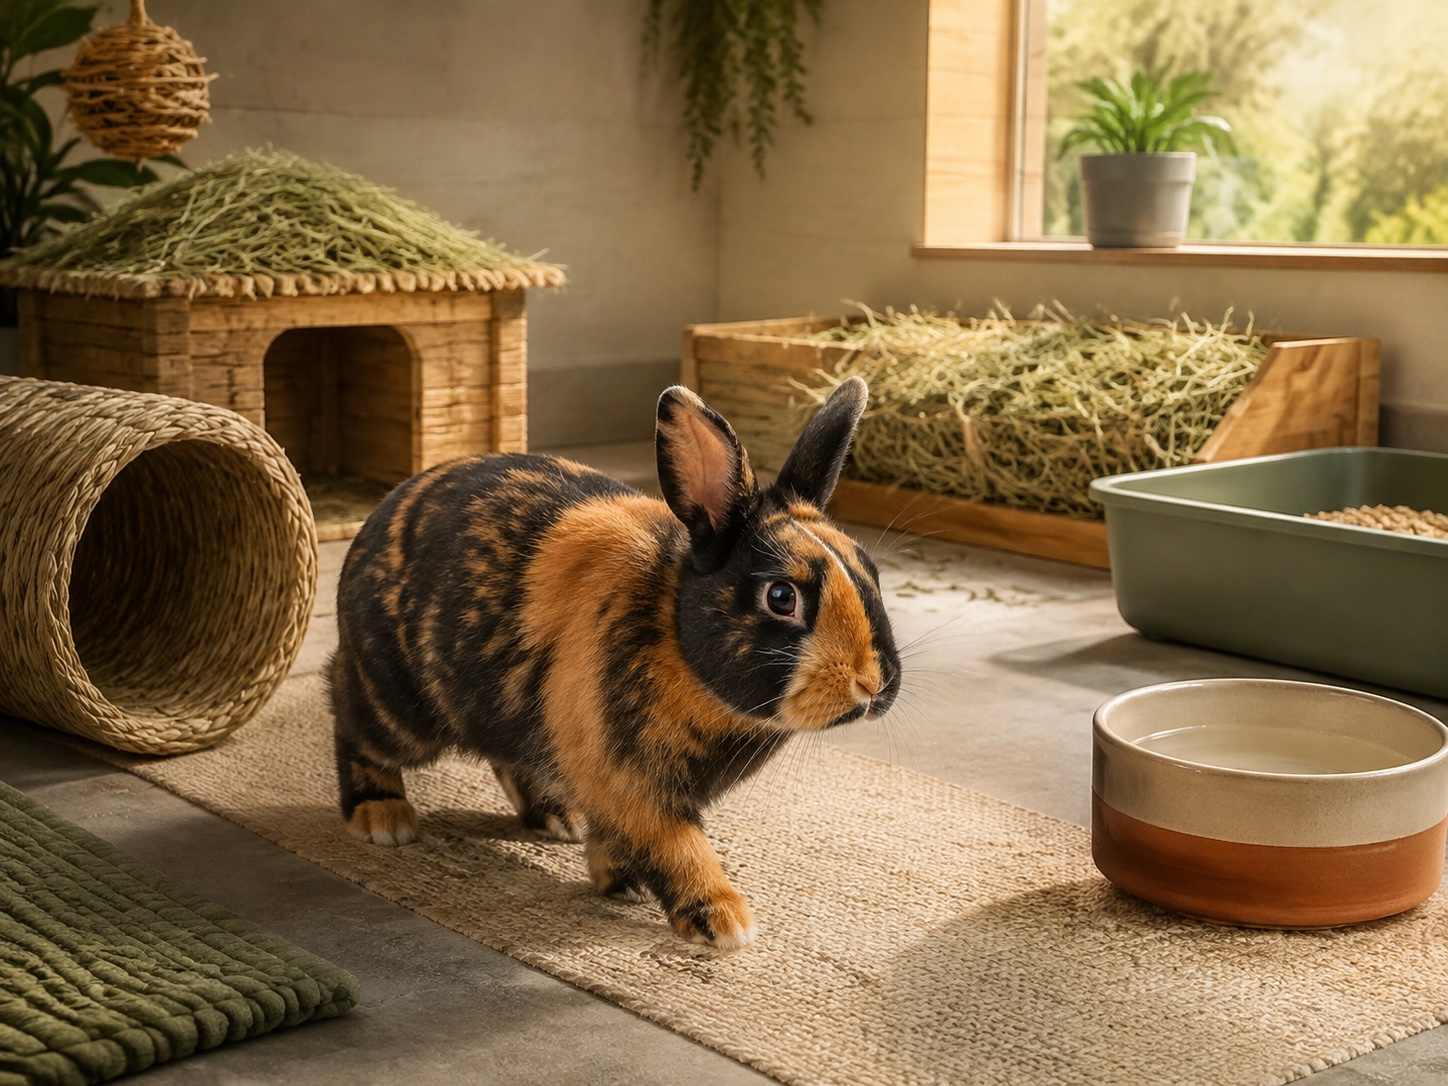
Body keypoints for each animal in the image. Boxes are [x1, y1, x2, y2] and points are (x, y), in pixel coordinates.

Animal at [329, 376, 901, 949]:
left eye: (869, 572)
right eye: (781, 597)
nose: (871, 685)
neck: (678, 637)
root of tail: (380, 515)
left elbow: (618, 836)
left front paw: (619, 880)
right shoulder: (631, 781)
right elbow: (677, 846)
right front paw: (724, 921)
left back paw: (558, 821)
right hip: (397, 705)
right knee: (353, 723)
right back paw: (384, 818)